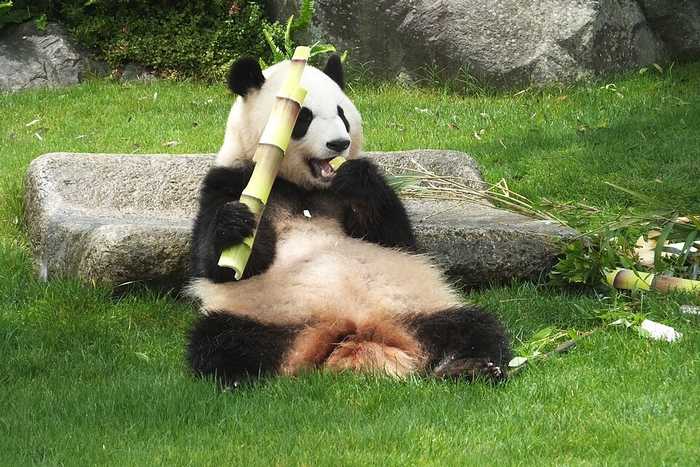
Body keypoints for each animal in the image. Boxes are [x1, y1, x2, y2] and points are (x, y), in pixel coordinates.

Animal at [186, 54, 512, 386]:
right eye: (303, 117)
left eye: (342, 114)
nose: (339, 144)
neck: (304, 187)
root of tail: (351, 332)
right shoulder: (230, 181)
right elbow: (222, 266)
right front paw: (234, 224)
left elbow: (396, 237)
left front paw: (357, 179)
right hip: (262, 315)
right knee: (221, 341)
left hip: (417, 307)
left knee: (473, 324)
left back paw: (467, 366)